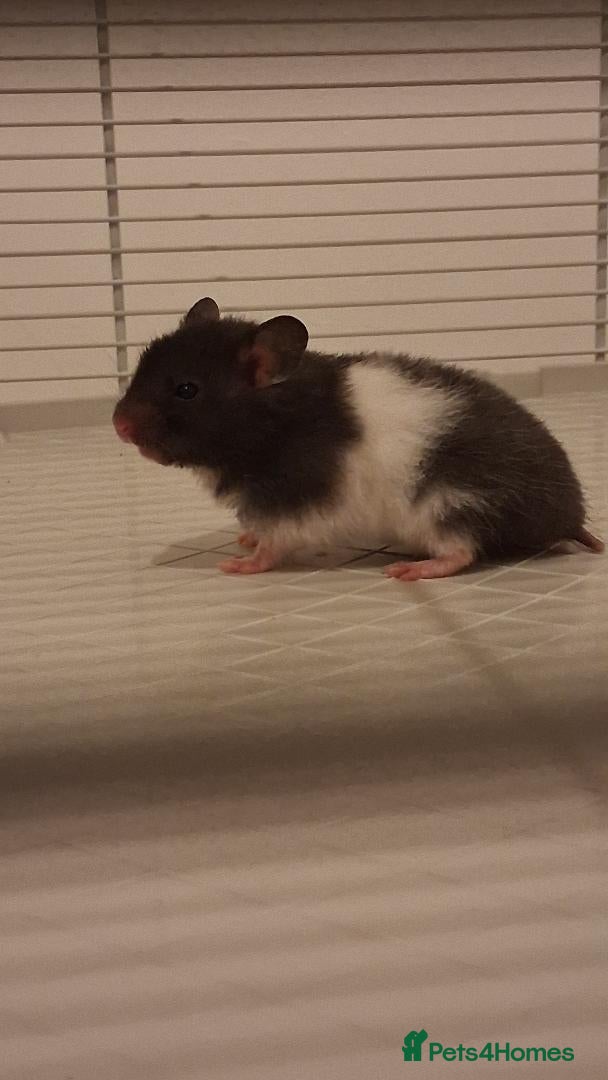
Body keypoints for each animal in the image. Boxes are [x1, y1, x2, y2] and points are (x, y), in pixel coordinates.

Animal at [112, 296, 604, 580]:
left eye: (186, 390)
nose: (118, 426)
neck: (271, 424)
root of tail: (569, 516)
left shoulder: (297, 501)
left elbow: (274, 543)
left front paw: (237, 564)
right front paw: (243, 540)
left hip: (449, 504)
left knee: (461, 552)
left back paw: (408, 570)